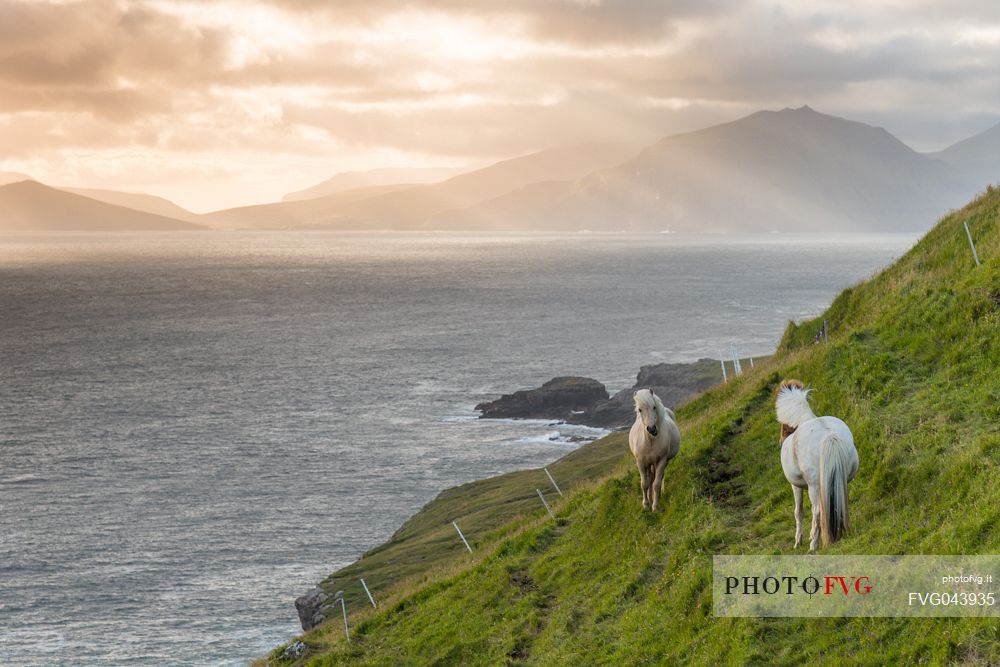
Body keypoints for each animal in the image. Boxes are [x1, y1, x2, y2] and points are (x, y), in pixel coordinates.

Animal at [776, 380, 856, 552]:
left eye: (784, 426)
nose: (781, 440)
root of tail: (830, 435)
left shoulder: (795, 486)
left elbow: (798, 512)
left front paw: (798, 541)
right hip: (840, 481)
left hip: (814, 487)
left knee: (817, 511)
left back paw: (813, 544)